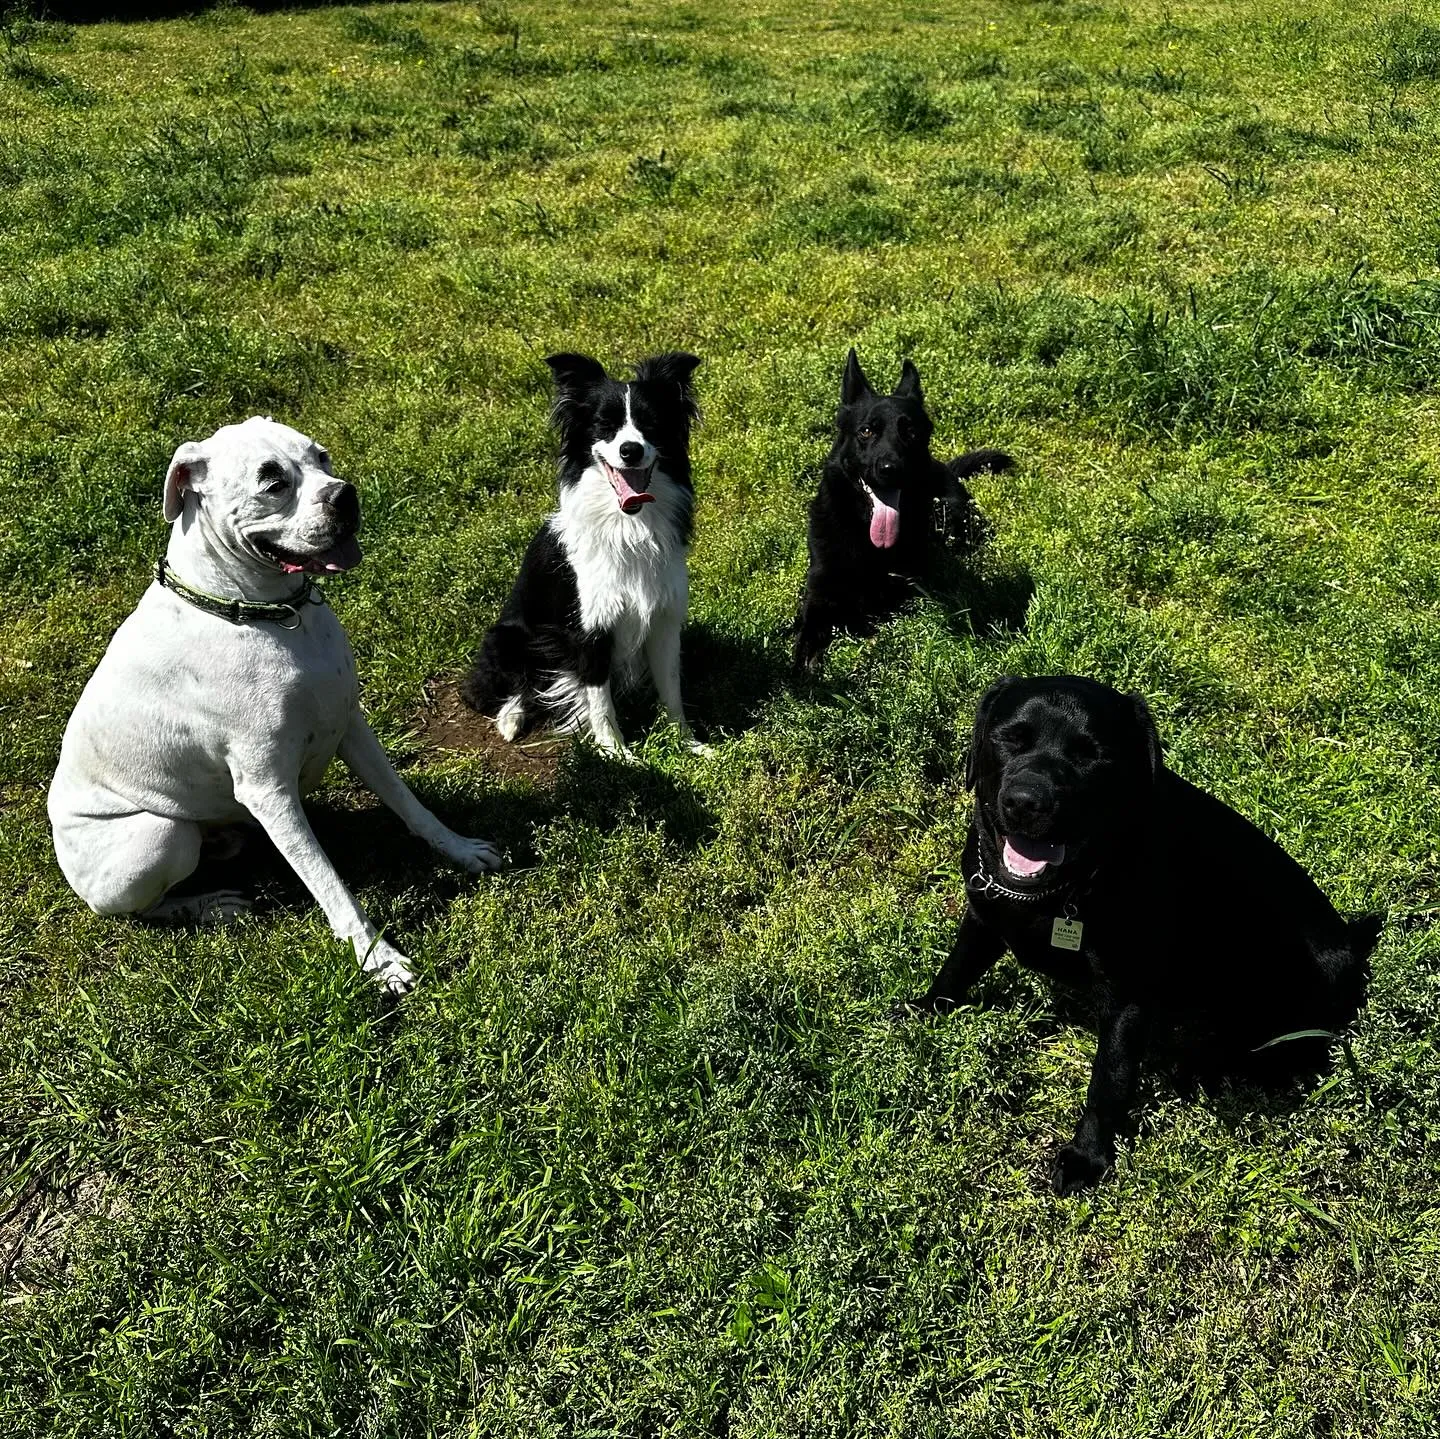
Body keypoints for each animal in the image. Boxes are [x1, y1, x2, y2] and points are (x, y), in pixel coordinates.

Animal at [47, 420, 501, 991]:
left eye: (321, 458)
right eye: (272, 482)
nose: (345, 495)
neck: (265, 612)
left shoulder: (351, 727)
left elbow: (409, 804)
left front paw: (460, 849)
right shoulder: (268, 790)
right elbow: (329, 882)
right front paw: (378, 959)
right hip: (160, 838)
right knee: (142, 909)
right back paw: (210, 906)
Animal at [800, 348, 1013, 674]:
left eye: (910, 432)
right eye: (866, 431)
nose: (890, 469)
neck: (865, 536)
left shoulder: (904, 593)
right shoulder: (819, 592)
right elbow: (807, 637)